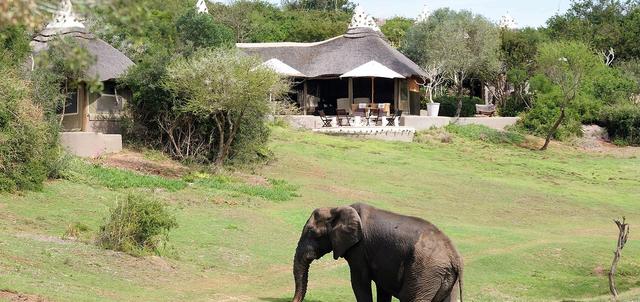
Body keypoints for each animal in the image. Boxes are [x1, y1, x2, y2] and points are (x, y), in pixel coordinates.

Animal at [292, 203, 462, 302]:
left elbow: (359, 281)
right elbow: (382, 287)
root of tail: (454, 256)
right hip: (442, 276)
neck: (337, 208)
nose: (294, 300)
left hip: (425, 272)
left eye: (311, 232)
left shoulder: (359, 248)